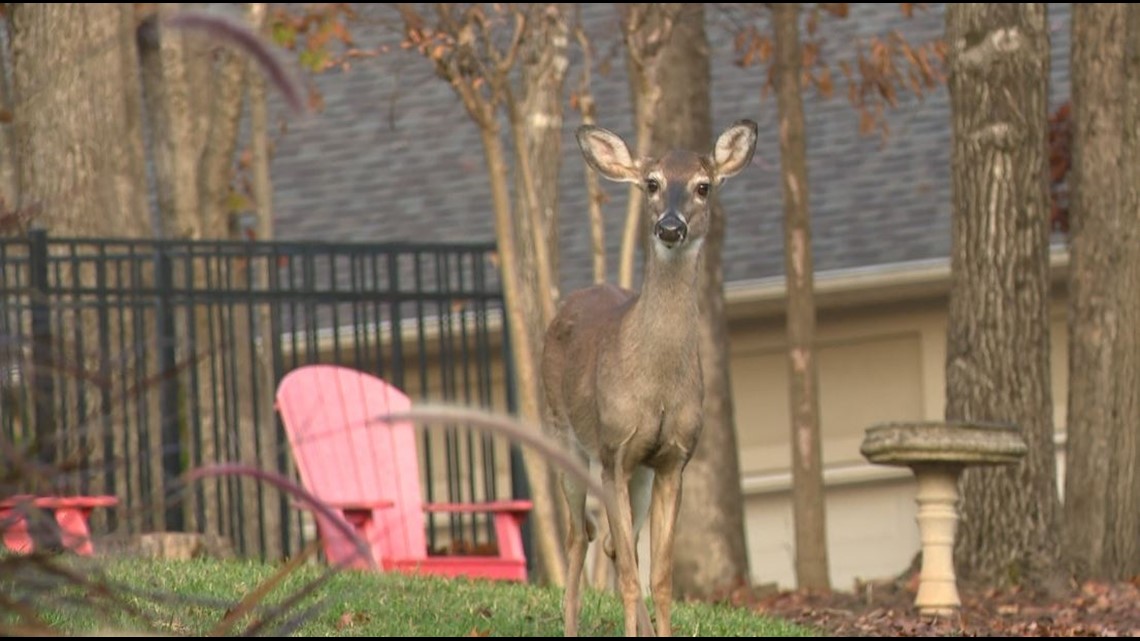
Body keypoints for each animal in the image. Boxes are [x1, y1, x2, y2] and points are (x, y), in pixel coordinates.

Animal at [541, 119, 758, 637]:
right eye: (652, 184)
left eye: (703, 186)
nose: (671, 227)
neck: (656, 385)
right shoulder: (614, 452)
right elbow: (624, 576)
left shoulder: (672, 459)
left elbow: (659, 576)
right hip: (563, 435)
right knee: (579, 536)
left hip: (635, 472)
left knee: (611, 544)